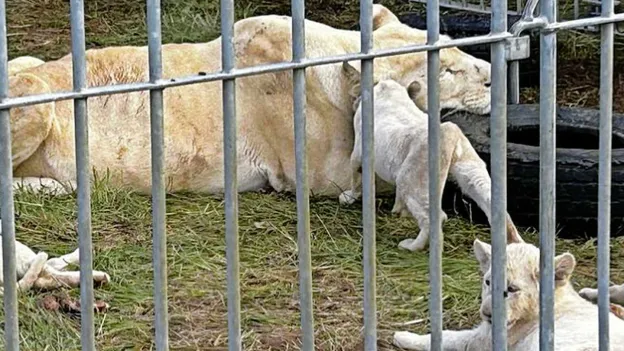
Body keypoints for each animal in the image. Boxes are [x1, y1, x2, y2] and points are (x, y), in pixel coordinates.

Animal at [336, 66, 520, 252]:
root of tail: (450, 134)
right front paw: (398, 210)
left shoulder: (359, 151)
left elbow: (355, 175)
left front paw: (349, 197)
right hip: (473, 174)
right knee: (499, 211)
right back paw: (515, 245)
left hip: (411, 183)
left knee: (433, 219)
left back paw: (411, 246)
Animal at [392, 241, 624, 350]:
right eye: (488, 282)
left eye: (512, 289)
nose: (486, 315)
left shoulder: (484, 340)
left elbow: (448, 337)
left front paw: (403, 336)